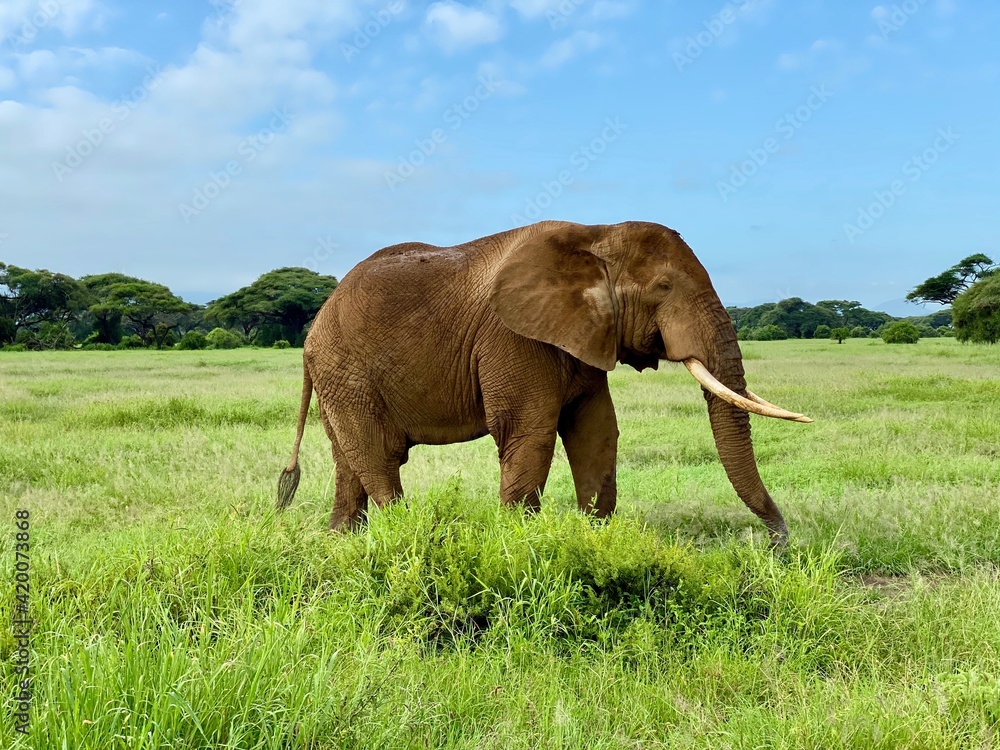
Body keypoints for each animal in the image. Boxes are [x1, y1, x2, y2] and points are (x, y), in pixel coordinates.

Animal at [276, 221, 811, 544]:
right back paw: (406, 537)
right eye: (664, 288)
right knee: (378, 456)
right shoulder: (513, 337)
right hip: (346, 371)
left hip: (338, 375)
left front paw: (595, 540)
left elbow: (596, 431)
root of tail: (313, 328)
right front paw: (519, 546)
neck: (597, 235)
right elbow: (528, 433)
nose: (778, 542)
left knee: (349, 460)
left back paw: (342, 541)